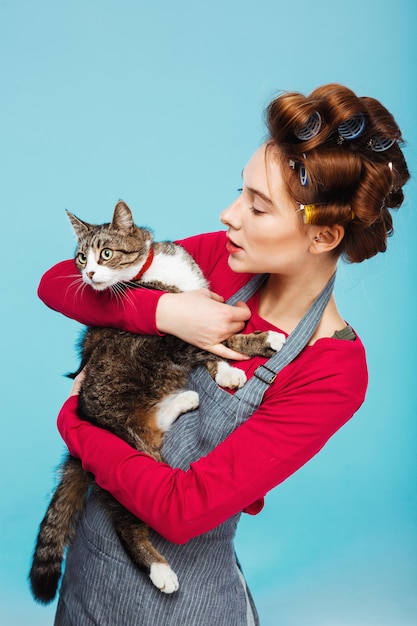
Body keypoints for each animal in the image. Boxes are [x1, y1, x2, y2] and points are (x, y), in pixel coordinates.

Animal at [27, 200, 284, 600]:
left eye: (104, 253)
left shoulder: (203, 307)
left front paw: (225, 372)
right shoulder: (181, 329)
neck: (154, 271)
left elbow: (214, 348)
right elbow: (217, 340)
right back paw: (159, 570)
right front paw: (260, 341)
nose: (90, 275)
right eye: (82, 258)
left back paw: (184, 400)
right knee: (127, 520)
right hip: (128, 458)